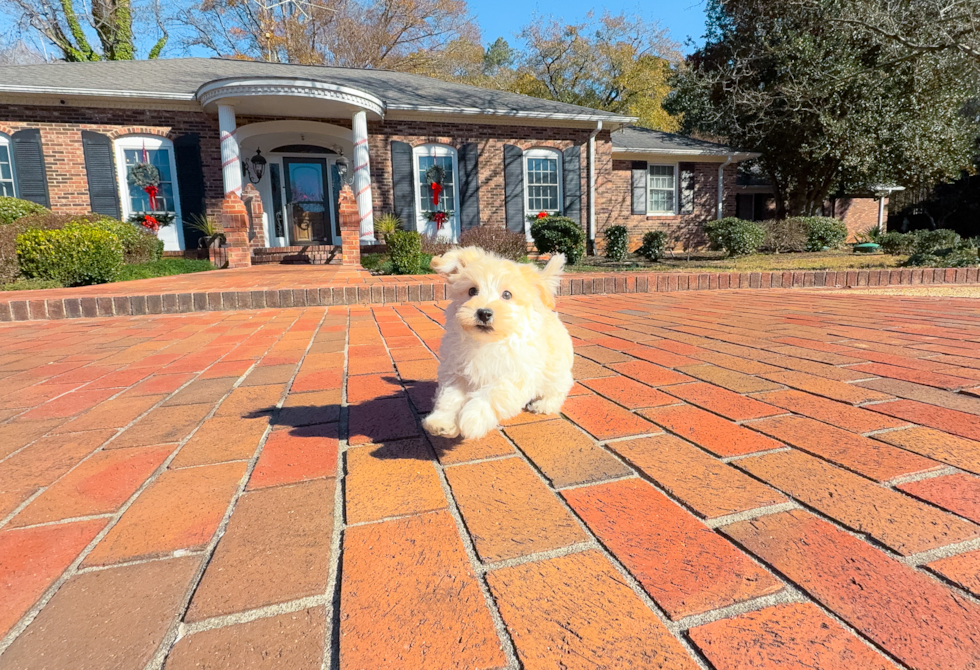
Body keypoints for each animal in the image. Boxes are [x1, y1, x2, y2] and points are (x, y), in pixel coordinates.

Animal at [422, 247, 576, 440]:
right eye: (472, 291)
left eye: (507, 295)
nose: (484, 313)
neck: (487, 342)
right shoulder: (456, 371)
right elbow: (449, 396)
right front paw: (441, 422)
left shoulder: (517, 374)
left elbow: (494, 392)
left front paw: (472, 418)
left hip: (556, 372)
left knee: (557, 389)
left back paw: (544, 404)